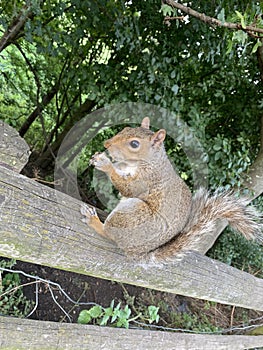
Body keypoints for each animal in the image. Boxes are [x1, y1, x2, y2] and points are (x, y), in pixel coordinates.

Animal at [81, 117, 262, 260]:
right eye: (125, 129)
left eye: (134, 143)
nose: (106, 144)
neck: (150, 161)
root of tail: (138, 252)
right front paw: (99, 157)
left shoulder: (147, 180)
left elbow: (128, 188)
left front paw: (105, 164)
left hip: (131, 216)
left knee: (108, 234)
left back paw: (94, 221)